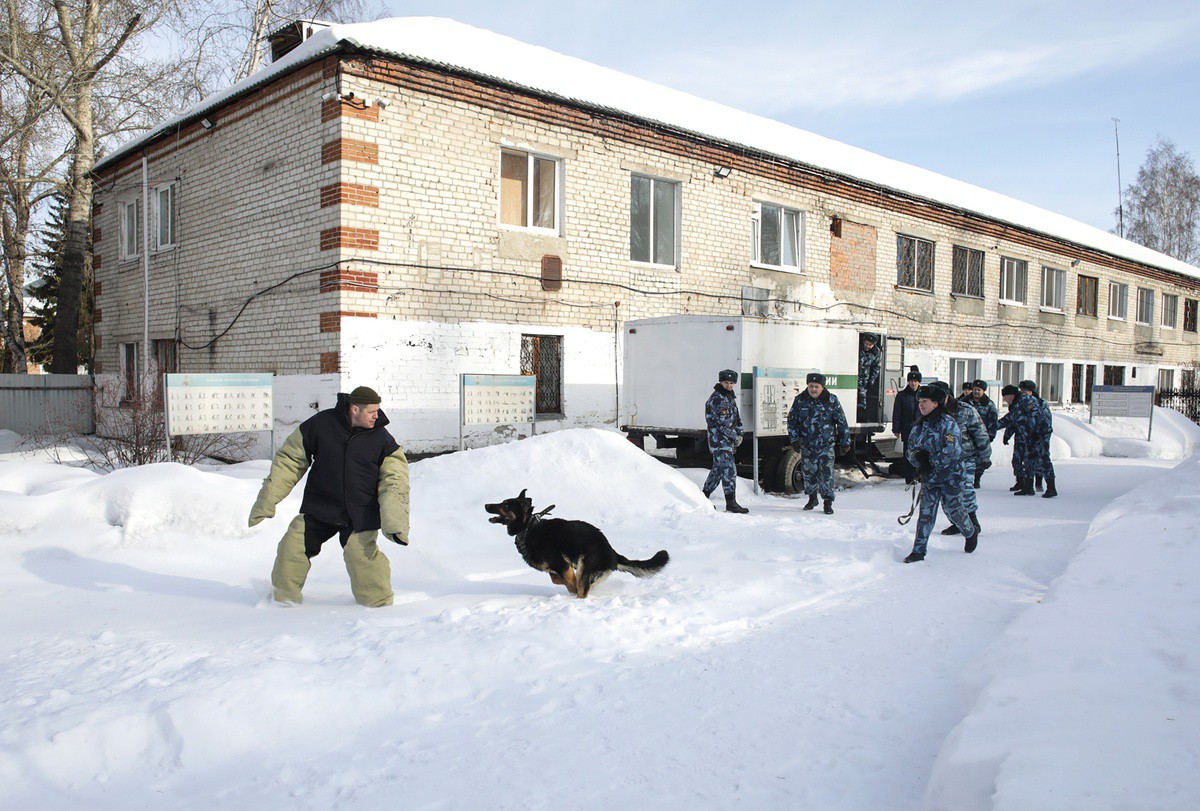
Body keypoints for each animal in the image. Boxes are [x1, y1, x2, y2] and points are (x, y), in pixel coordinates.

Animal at [487, 491, 676, 599]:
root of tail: (612, 553)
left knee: (581, 590)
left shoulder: (562, 564)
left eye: (505, 505)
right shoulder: (559, 568)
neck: (528, 528)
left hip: (586, 565)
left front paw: (570, 589)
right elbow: (557, 579)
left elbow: (570, 582)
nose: (486, 505)